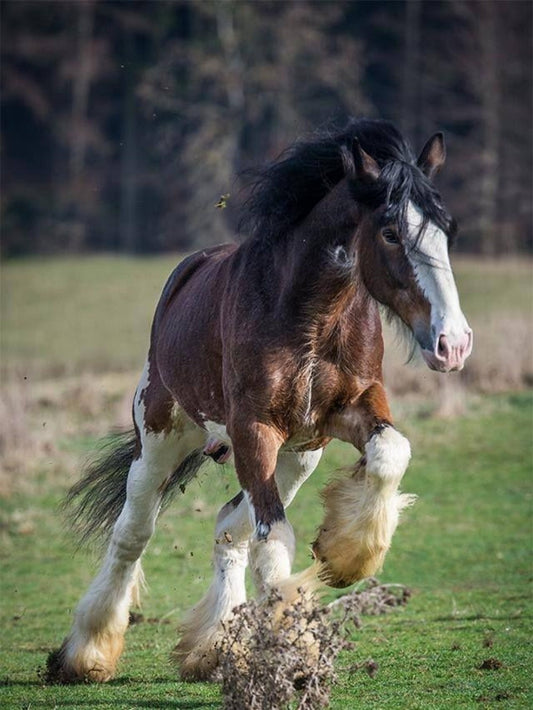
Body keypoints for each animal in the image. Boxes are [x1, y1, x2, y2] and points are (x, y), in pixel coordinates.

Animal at [47, 118, 472, 684]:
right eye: (390, 232)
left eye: (447, 230)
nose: (454, 343)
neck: (309, 316)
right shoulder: (254, 429)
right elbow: (275, 545)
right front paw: (294, 649)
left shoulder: (350, 409)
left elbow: (389, 453)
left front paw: (344, 557)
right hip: (163, 436)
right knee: (134, 532)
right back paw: (87, 654)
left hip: (297, 457)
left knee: (230, 528)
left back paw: (210, 648)